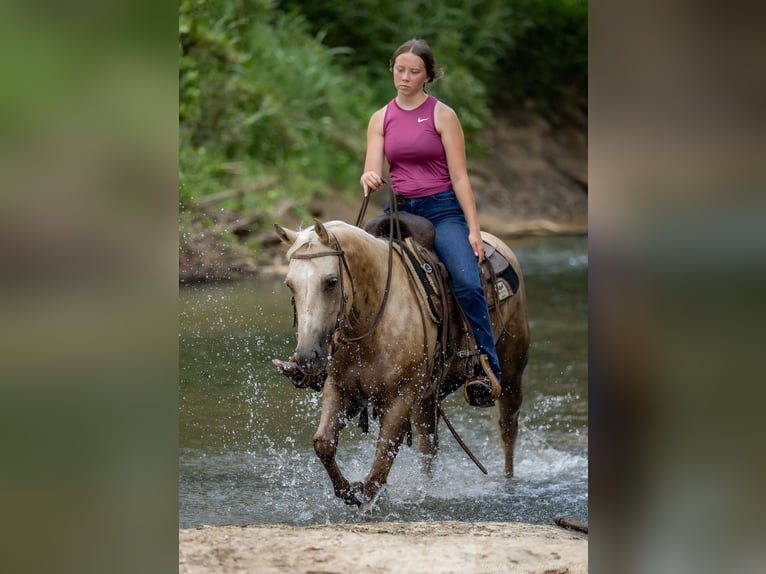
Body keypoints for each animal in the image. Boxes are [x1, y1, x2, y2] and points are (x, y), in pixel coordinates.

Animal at [274, 218, 529, 509]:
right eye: (290, 284)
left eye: (331, 282)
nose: (307, 356)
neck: (375, 318)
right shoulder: (342, 390)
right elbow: (324, 443)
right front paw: (349, 491)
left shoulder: (399, 399)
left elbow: (379, 468)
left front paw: (366, 502)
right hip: (427, 398)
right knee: (428, 446)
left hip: (511, 373)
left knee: (508, 430)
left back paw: (508, 482)